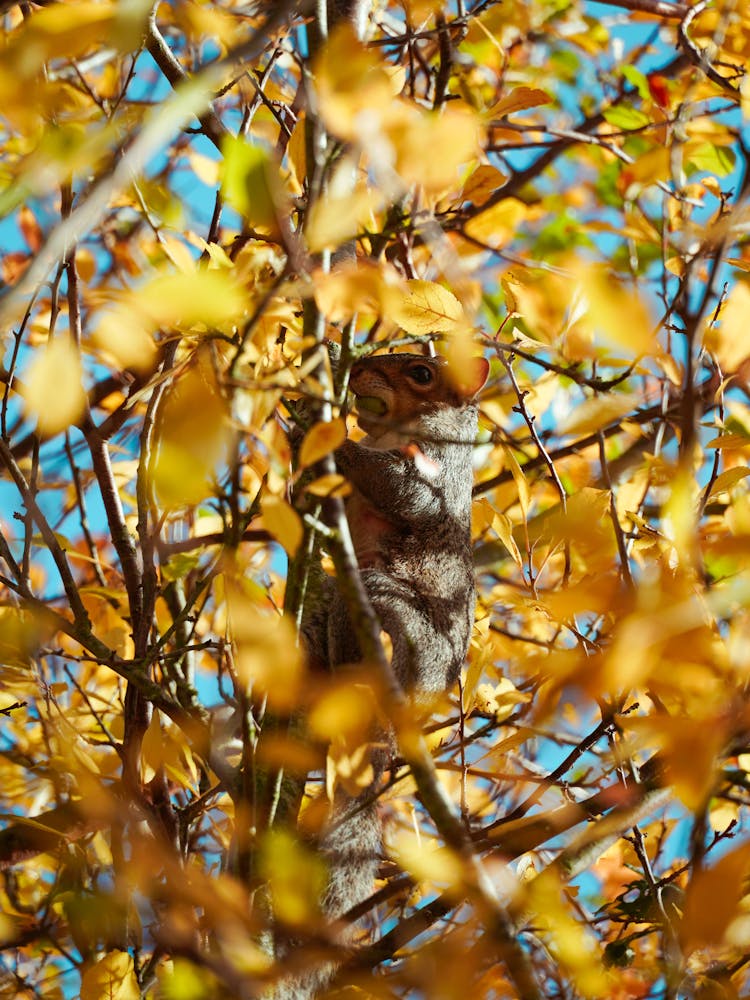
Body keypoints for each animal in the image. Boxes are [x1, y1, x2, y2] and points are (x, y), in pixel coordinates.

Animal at [276, 350, 489, 997]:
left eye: (421, 373)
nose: (360, 366)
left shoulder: (435, 476)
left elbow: (405, 494)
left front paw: (318, 433)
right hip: (331, 598)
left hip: (394, 612)